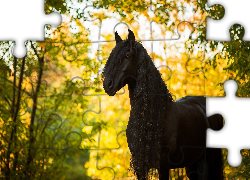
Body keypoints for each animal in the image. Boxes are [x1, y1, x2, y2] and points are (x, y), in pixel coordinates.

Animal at [102, 28, 224, 179]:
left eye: (127, 55)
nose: (107, 84)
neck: (152, 115)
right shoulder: (140, 166)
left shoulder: (163, 164)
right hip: (191, 164)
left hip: (205, 161)